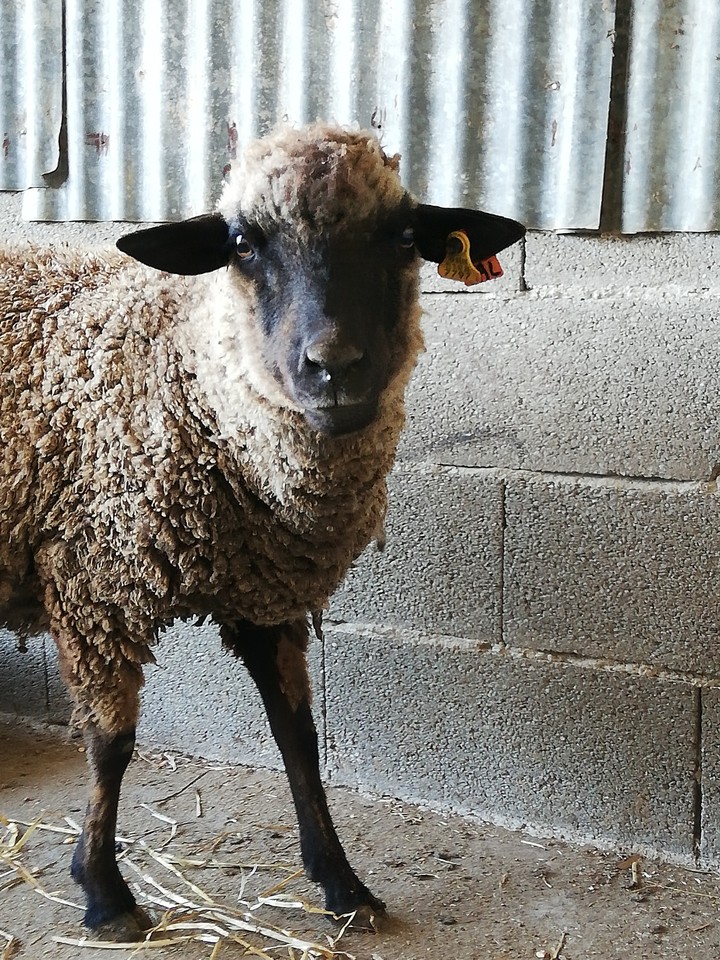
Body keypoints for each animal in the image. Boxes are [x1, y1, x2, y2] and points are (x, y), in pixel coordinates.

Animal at [0, 123, 525, 938]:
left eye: (405, 237)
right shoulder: (96, 586)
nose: (333, 367)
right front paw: (105, 892)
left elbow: (298, 737)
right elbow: (111, 744)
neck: (190, 377)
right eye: (243, 242)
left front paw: (342, 883)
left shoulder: (267, 593)